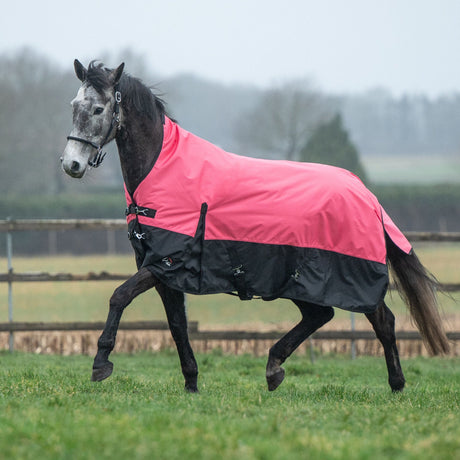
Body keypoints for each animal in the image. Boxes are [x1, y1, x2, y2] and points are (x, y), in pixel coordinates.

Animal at [61, 59, 450, 394]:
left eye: (99, 109)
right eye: (74, 105)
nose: (71, 165)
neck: (163, 170)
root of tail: (367, 195)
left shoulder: (166, 262)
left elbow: (119, 296)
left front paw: (100, 363)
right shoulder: (161, 270)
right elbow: (176, 325)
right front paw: (191, 383)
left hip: (349, 278)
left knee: (382, 321)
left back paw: (396, 385)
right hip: (299, 282)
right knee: (321, 315)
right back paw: (274, 367)